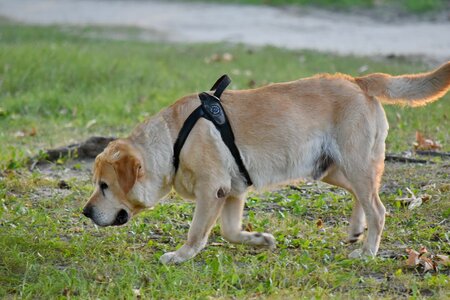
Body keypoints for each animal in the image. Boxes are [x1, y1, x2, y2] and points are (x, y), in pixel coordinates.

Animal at [82, 62, 448, 262]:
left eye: (105, 186)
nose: (85, 212)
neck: (173, 139)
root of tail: (358, 81)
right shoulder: (232, 192)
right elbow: (230, 232)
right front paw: (260, 240)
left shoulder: (212, 190)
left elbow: (197, 232)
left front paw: (181, 256)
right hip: (331, 168)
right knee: (362, 198)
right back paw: (357, 230)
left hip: (354, 165)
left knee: (378, 209)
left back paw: (368, 250)